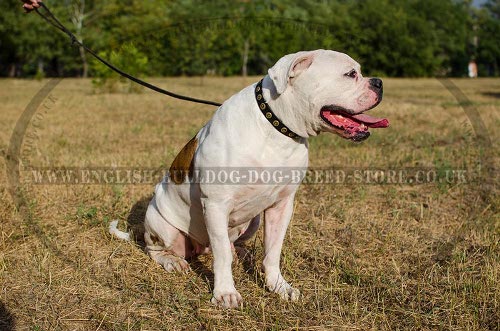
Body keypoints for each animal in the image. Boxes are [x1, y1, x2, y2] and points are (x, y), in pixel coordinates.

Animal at [111, 48, 388, 308]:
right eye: (350, 74)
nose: (379, 82)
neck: (277, 128)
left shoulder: (282, 205)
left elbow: (272, 251)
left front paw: (279, 286)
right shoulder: (215, 204)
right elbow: (221, 255)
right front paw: (225, 293)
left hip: (252, 220)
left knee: (230, 243)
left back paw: (240, 253)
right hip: (163, 226)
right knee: (158, 248)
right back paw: (173, 261)